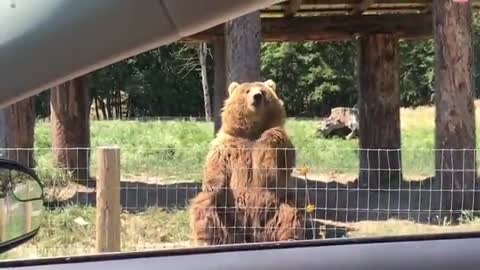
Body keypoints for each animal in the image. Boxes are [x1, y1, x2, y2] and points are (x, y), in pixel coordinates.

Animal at [188, 79, 304, 246]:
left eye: (263, 91)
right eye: (247, 91)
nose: (257, 96)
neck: (252, 131)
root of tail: (249, 234)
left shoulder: (283, 147)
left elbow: (273, 172)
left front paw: (270, 136)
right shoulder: (228, 145)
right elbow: (215, 164)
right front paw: (211, 184)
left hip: (274, 208)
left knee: (291, 210)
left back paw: (289, 237)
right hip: (228, 213)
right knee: (205, 206)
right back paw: (207, 240)